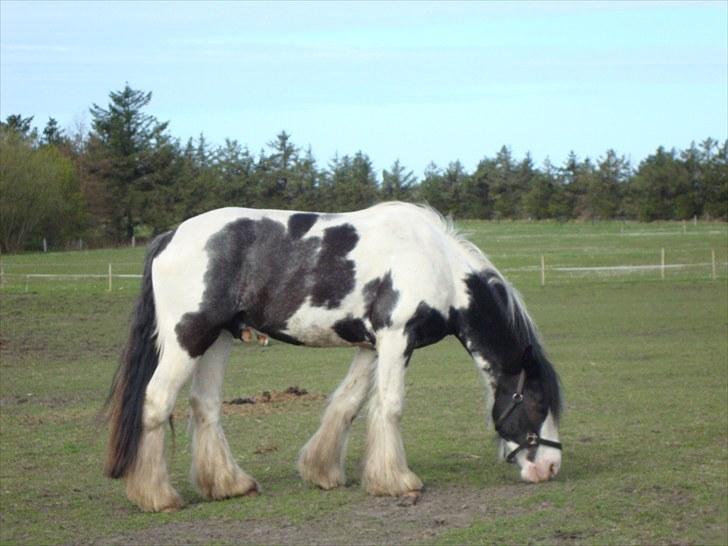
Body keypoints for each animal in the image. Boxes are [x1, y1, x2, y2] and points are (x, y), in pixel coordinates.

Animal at [104, 201, 564, 510]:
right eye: (537, 401)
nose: (551, 468)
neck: (437, 265)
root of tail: (170, 237)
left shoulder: (370, 345)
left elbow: (348, 403)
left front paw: (322, 471)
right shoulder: (396, 337)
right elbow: (390, 405)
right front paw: (397, 481)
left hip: (217, 338)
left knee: (205, 406)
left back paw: (229, 484)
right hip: (189, 337)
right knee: (156, 402)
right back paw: (157, 495)